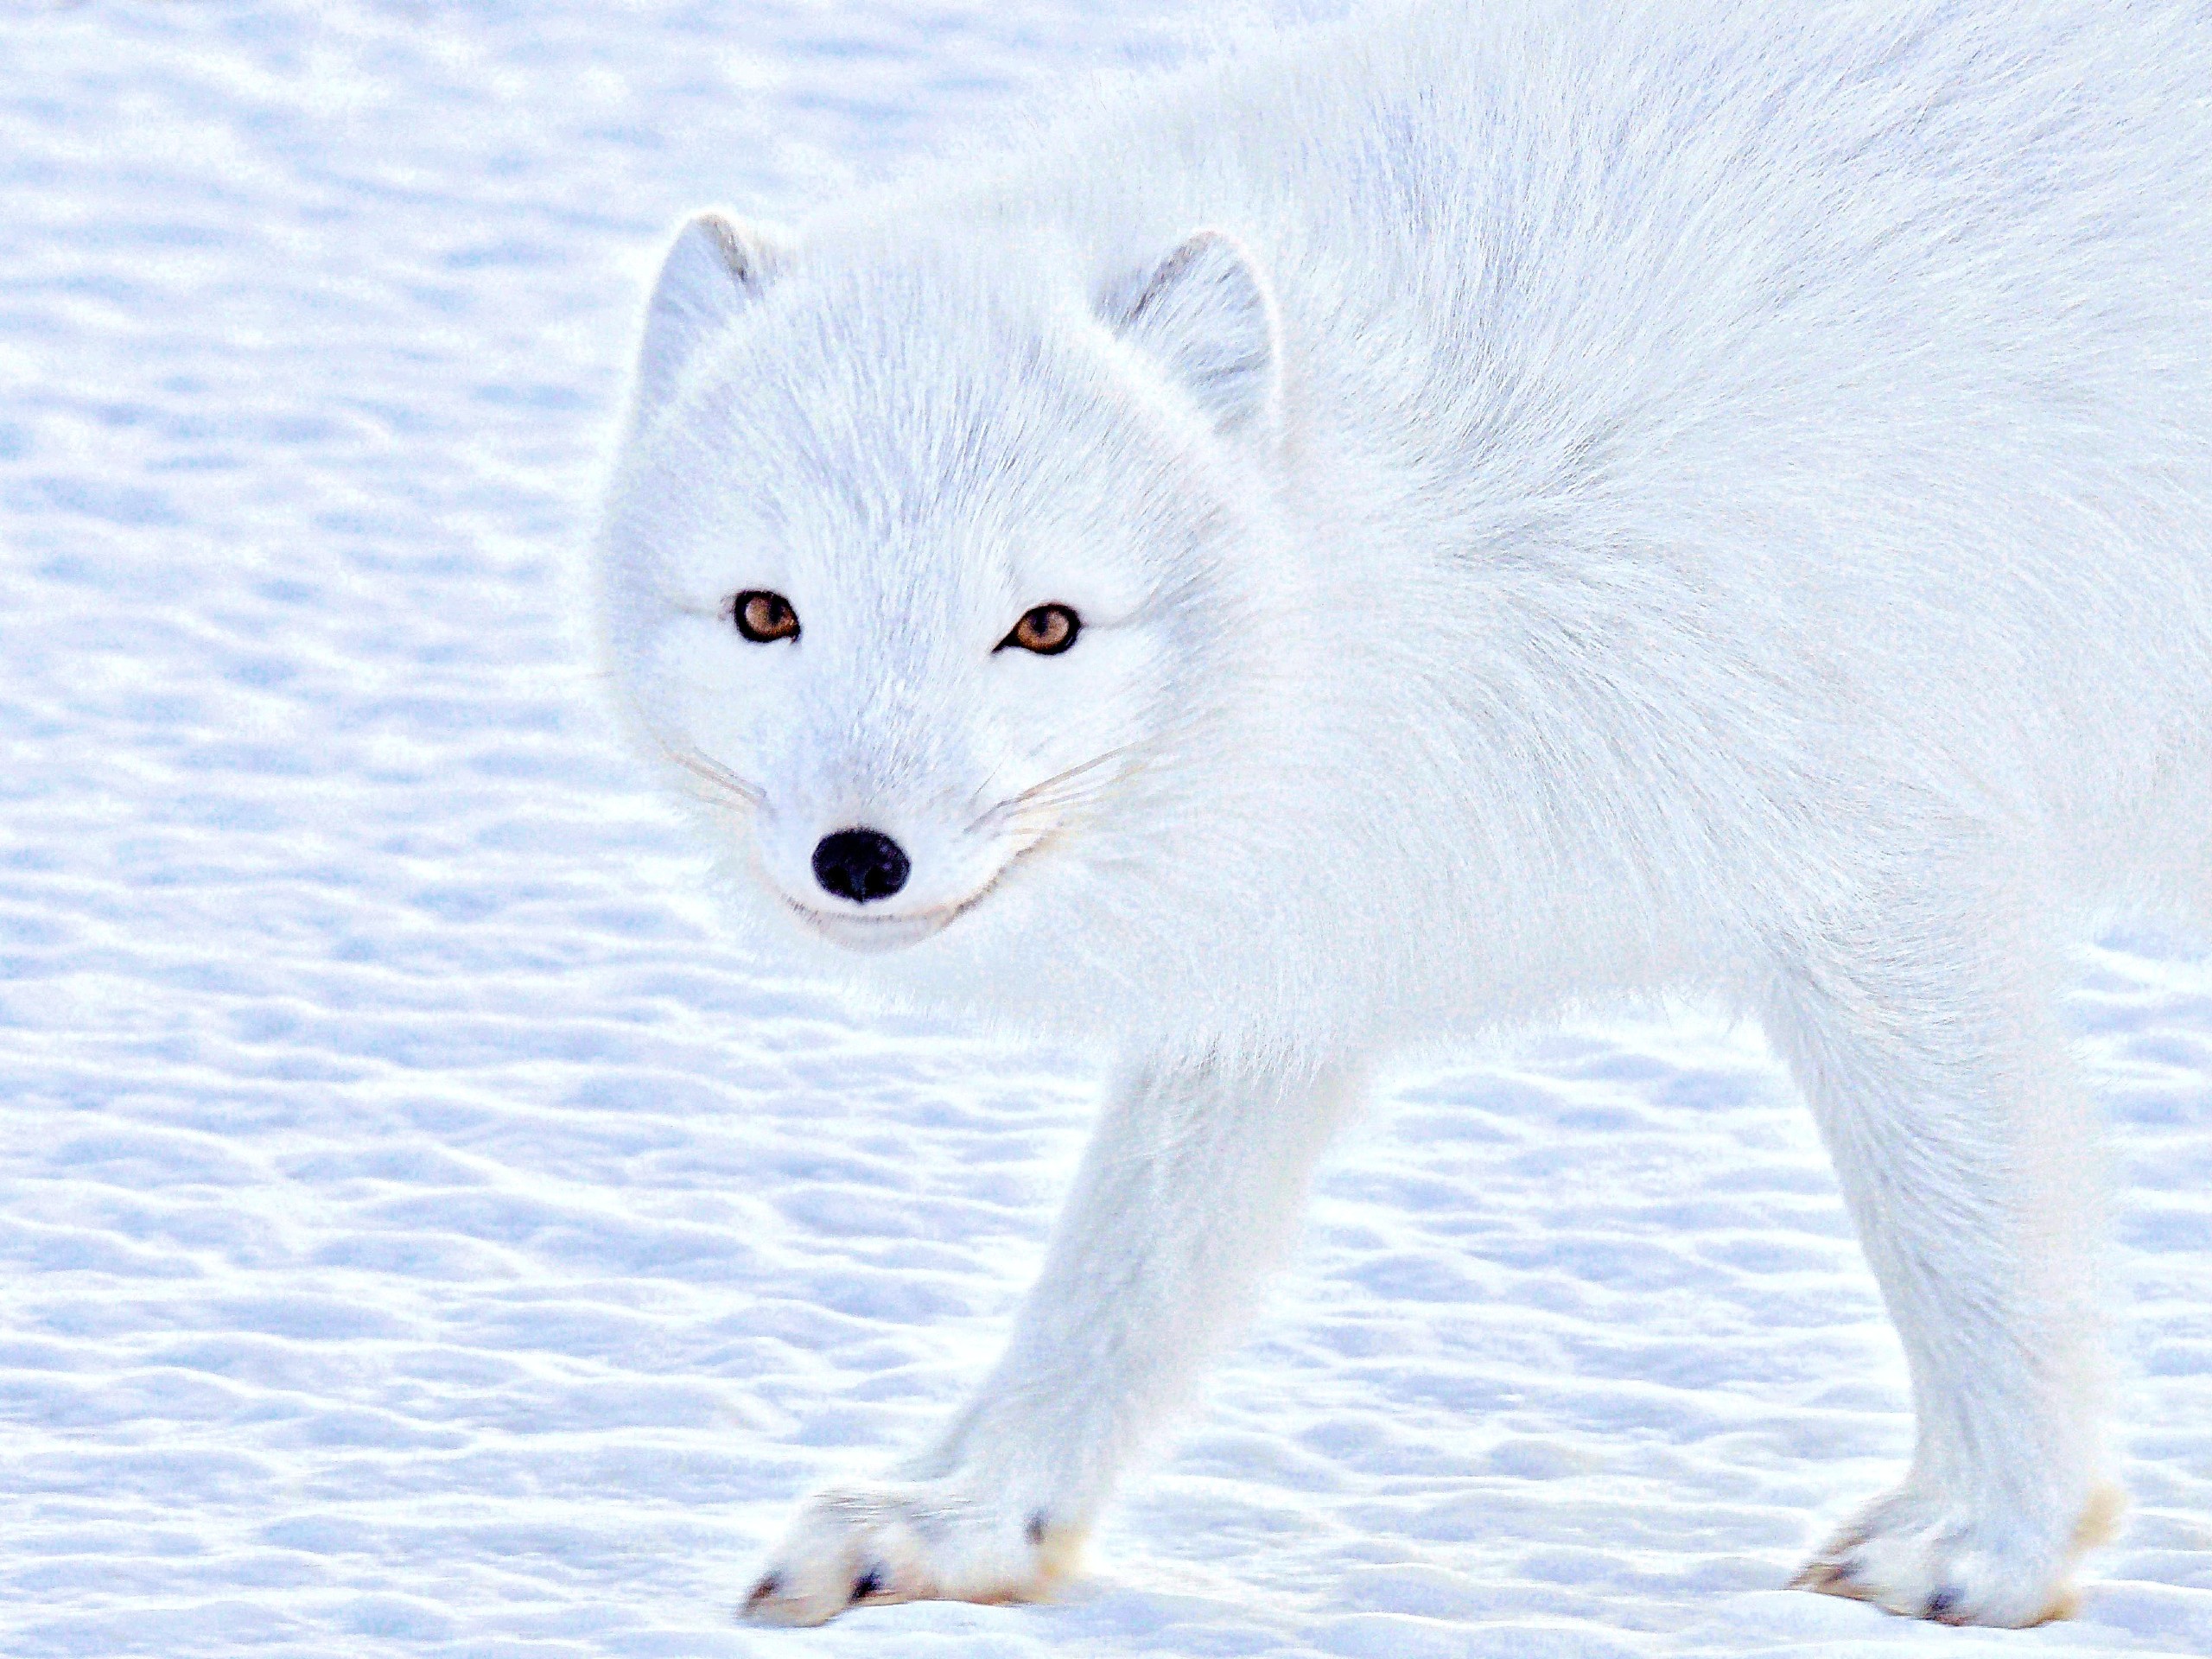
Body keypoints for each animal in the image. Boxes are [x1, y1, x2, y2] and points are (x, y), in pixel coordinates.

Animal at [597, 0, 2212, 1637]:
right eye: (766, 613)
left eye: (1044, 628)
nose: (860, 859)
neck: (1439, 520)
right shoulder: (1295, 957)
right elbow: (1121, 1277)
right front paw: (969, 1522)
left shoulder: (1886, 879)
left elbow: (1965, 1237)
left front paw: (1991, 1547)